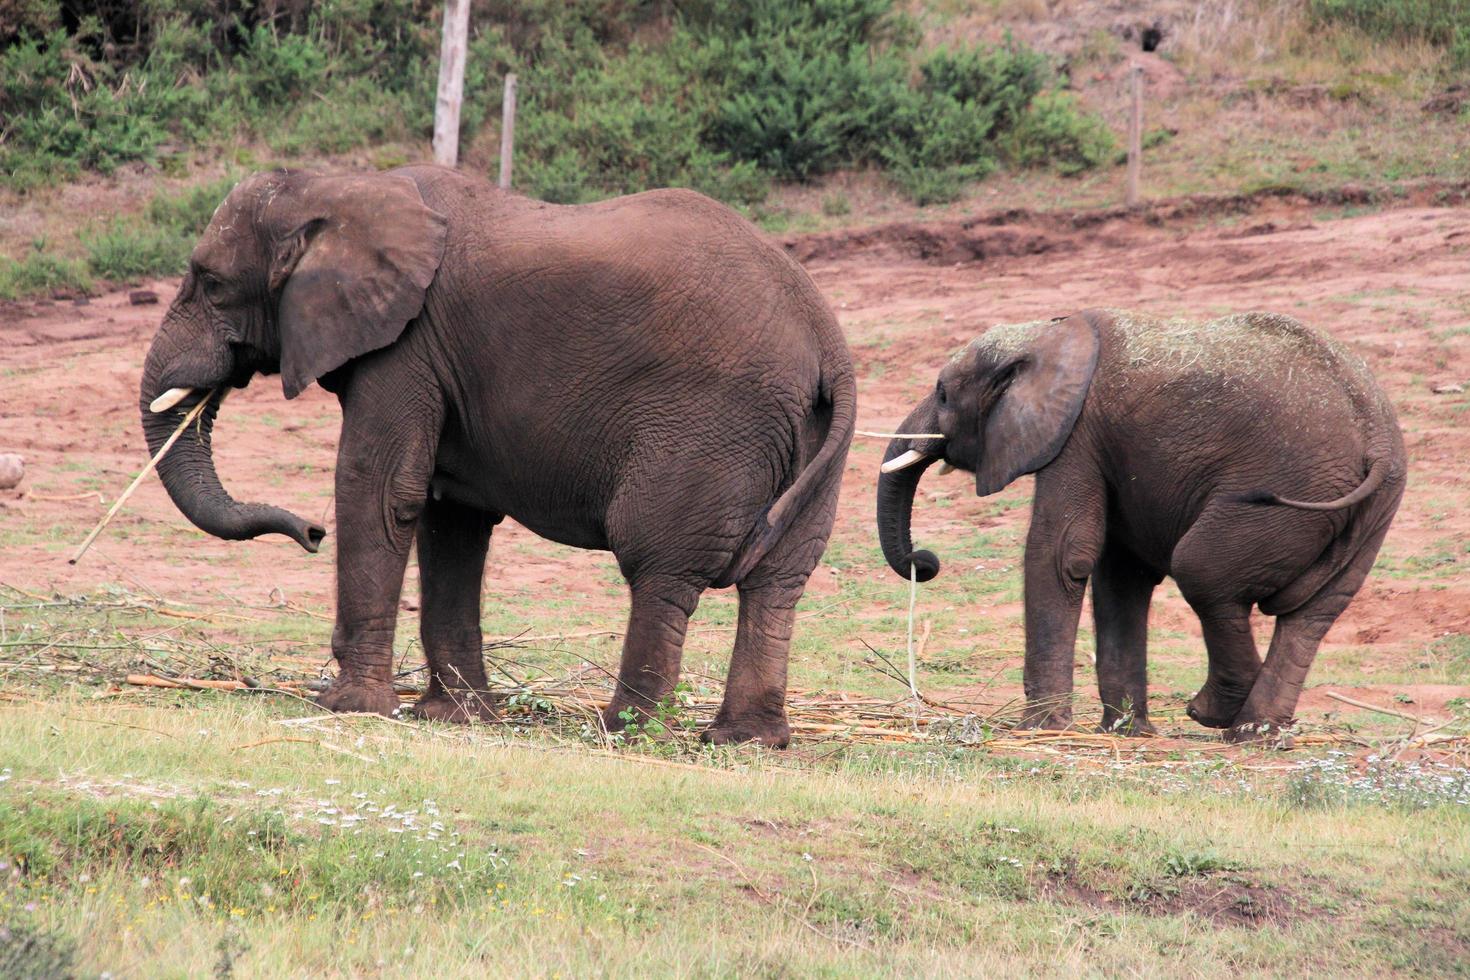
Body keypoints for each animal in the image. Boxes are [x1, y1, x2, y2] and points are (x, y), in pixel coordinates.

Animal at [138, 166, 858, 743]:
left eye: (210, 282)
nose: (311, 534)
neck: (343, 186)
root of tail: (826, 340)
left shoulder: (406, 347)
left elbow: (378, 490)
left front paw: (349, 707)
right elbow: (450, 517)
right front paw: (453, 717)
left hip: (705, 428)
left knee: (660, 566)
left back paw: (622, 731)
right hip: (813, 441)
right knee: (778, 582)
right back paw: (745, 739)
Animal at [876, 310, 1405, 740]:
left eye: (944, 394)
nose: (925, 560)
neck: (1050, 333)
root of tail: (1376, 437)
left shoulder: (1076, 433)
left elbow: (1063, 553)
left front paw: (1041, 729)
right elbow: (1119, 574)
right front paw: (1126, 731)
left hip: (1287, 490)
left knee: (1202, 571)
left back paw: (1212, 714)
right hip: (1375, 507)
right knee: (1313, 614)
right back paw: (1254, 735)